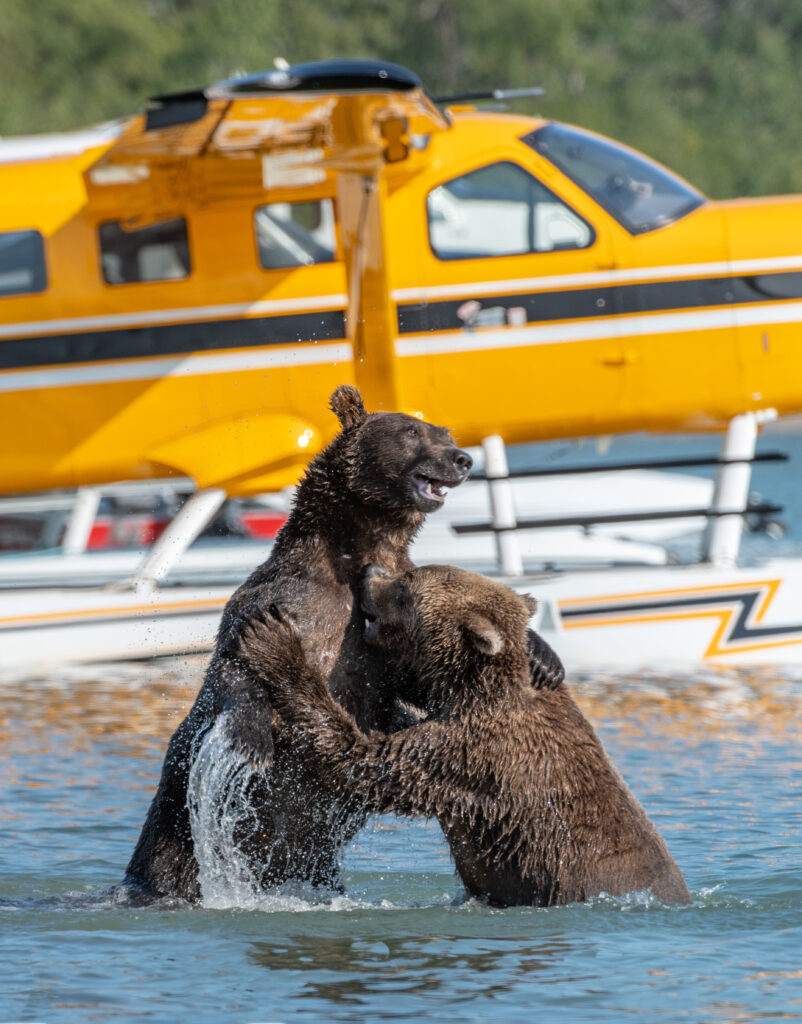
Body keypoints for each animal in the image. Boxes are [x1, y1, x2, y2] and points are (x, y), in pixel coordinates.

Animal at [123, 387, 565, 901]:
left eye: (444, 432)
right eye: (411, 430)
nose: (462, 458)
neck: (355, 554)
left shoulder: (387, 635)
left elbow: (419, 678)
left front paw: (545, 659)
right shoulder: (286, 598)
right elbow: (238, 662)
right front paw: (252, 739)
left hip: (311, 861)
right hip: (178, 824)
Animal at [235, 565, 692, 909]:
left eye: (405, 585)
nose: (370, 571)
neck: (474, 689)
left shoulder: (471, 756)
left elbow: (361, 759)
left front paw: (274, 641)